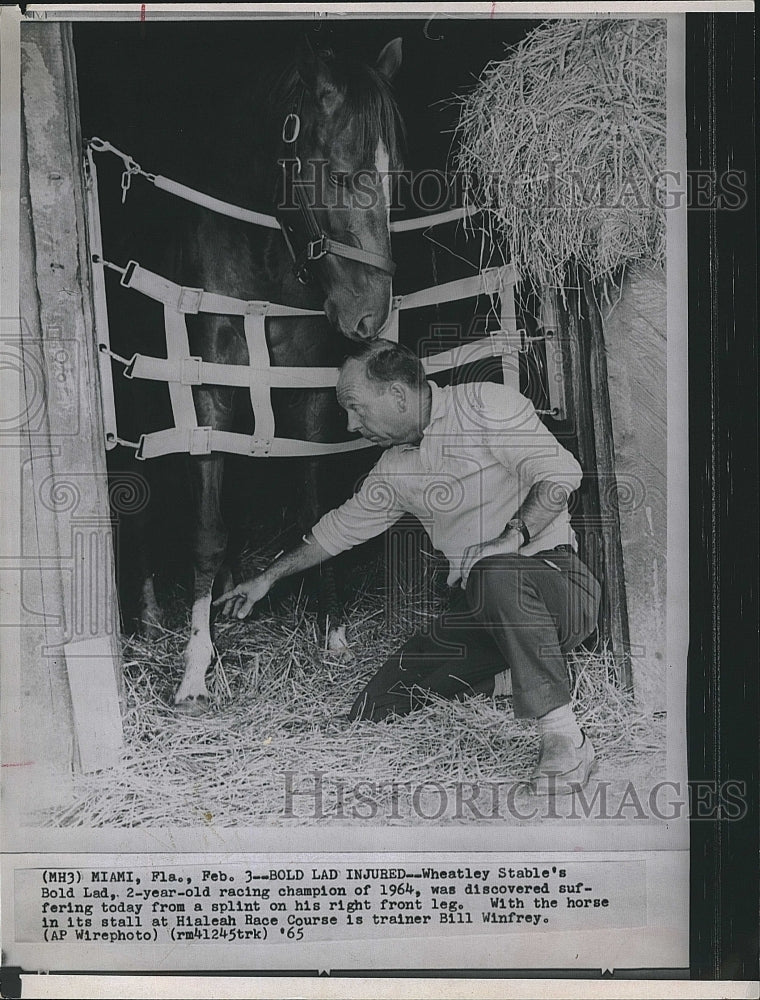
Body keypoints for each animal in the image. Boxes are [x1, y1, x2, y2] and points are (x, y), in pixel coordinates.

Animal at [108, 37, 404, 712]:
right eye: (342, 174)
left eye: (396, 176)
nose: (369, 317)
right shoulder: (207, 403)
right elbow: (205, 530)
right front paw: (195, 665)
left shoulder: (307, 400)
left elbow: (315, 512)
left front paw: (332, 630)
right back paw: (149, 615)